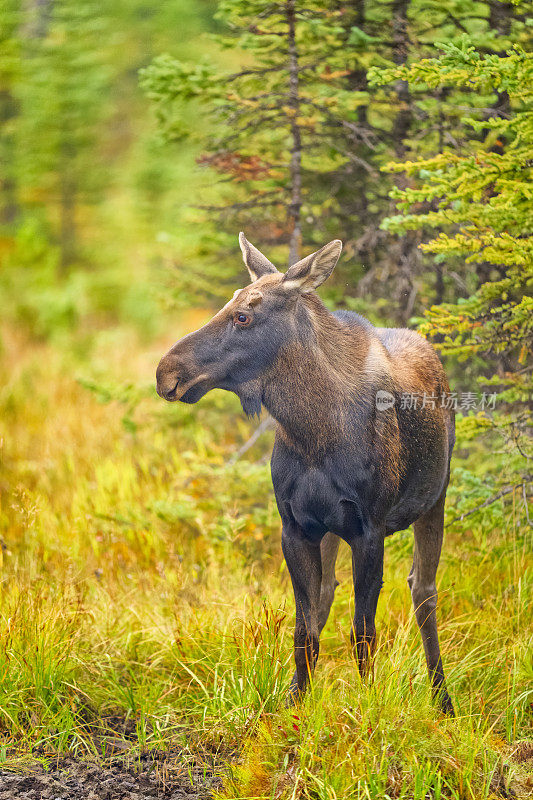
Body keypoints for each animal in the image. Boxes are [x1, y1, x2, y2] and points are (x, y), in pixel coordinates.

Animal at [156, 234, 456, 716]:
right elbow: (305, 630)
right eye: (229, 302)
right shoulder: (295, 526)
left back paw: (443, 700)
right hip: (332, 528)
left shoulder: (370, 529)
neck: (315, 431)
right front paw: (294, 702)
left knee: (423, 591)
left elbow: (363, 633)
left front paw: (368, 705)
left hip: (436, 498)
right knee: (330, 591)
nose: (166, 373)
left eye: (243, 314)